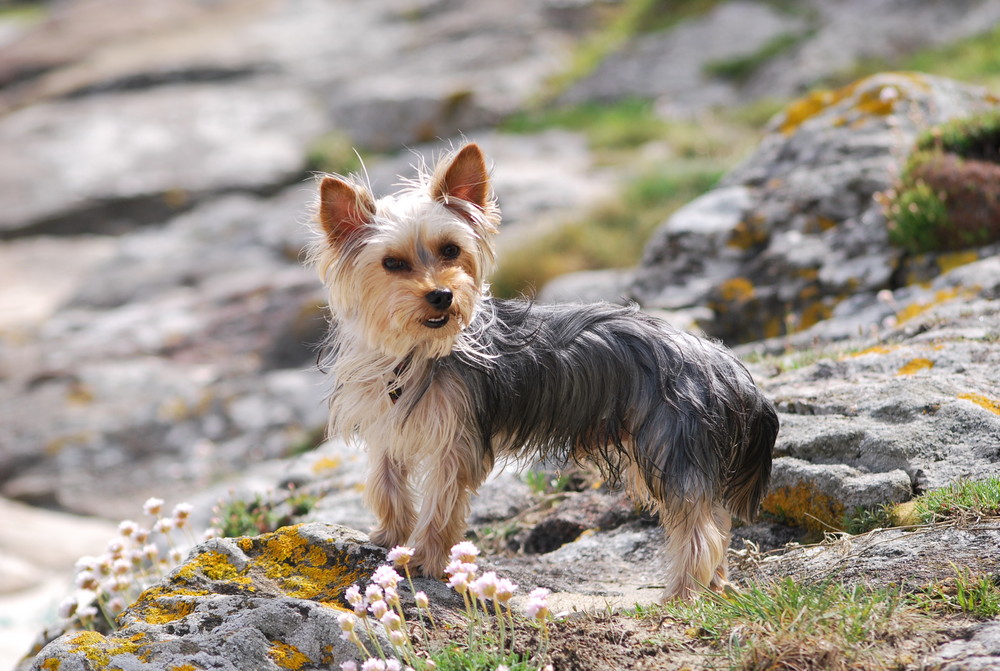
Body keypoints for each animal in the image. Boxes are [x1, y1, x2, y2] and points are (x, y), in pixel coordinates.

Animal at [308, 144, 776, 600]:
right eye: (392, 263)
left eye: (450, 250)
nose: (442, 295)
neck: (414, 351)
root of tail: (722, 362)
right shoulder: (387, 428)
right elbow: (385, 484)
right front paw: (390, 538)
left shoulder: (455, 441)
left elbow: (441, 504)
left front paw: (424, 560)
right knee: (715, 520)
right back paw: (715, 586)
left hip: (671, 447)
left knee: (700, 531)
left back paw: (683, 593)